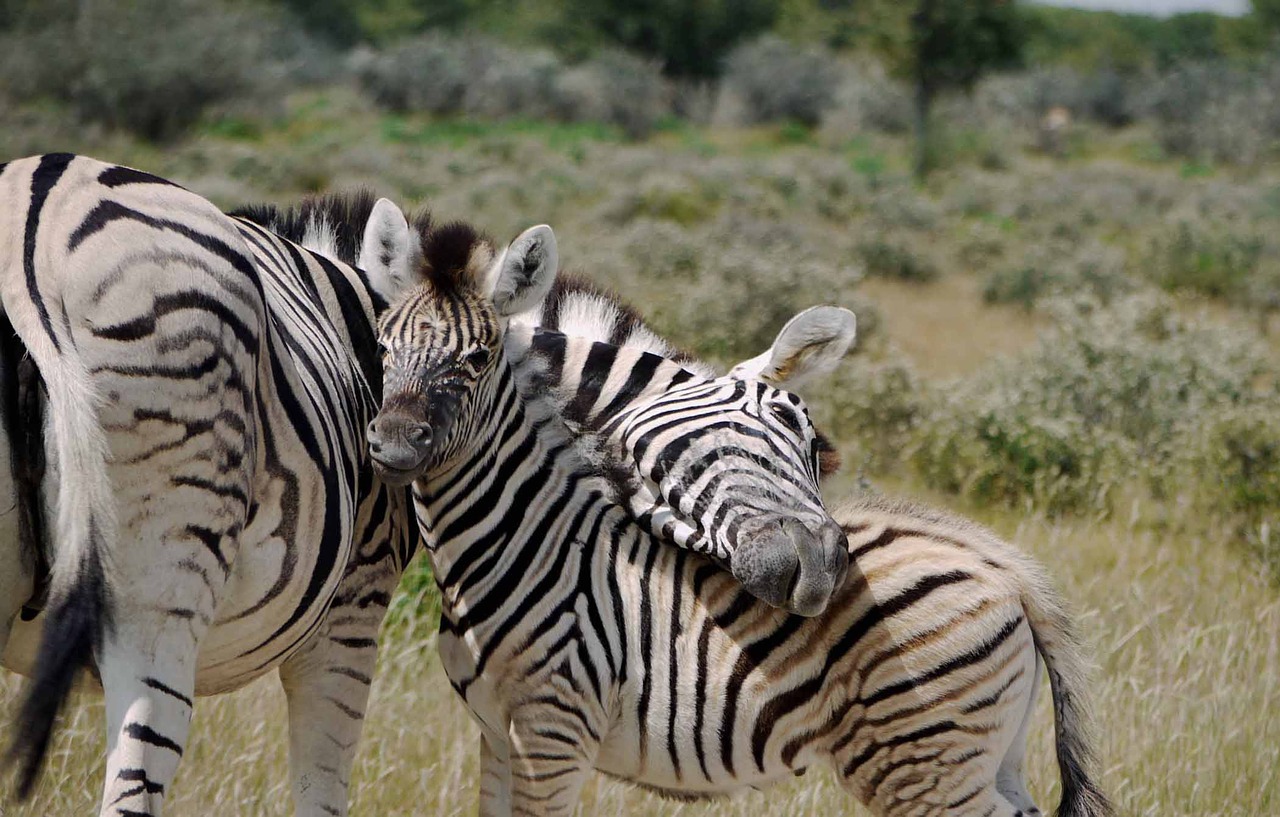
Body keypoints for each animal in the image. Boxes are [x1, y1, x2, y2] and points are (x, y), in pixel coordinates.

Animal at [366, 225, 1116, 817]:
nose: (395, 445)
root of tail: (1005, 567)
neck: (530, 536)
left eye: (478, 358)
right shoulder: (497, 734)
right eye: (378, 350)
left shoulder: (552, 732)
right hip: (987, 754)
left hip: (926, 760)